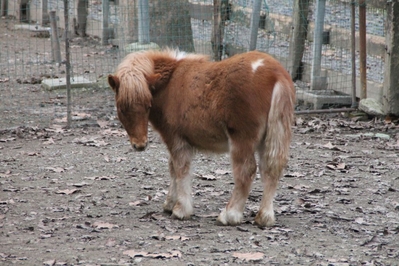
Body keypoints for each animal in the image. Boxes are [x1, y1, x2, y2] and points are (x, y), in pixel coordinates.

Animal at [108, 48, 296, 227]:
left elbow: (180, 169)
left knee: (246, 171)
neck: (170, 82)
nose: (140, 145)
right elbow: (172, 169)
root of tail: (276, 74)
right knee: (270, 170)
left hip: (242, 140)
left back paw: (229, 215)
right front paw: (169, 204)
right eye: (122, 108)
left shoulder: (176, 139)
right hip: (269, 138)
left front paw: (180, 210)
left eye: (148, 105)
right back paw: (264, 218)